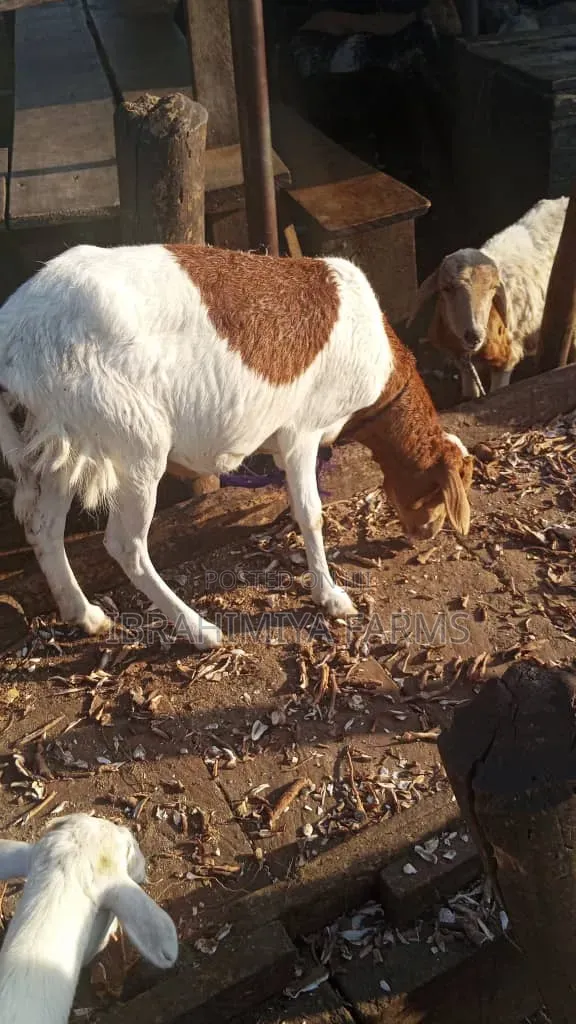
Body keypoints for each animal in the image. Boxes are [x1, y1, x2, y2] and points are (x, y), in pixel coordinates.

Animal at [0, 243, 473, 651]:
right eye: (436, 490)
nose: (427, 533)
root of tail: (14, 334)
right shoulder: (301, 432)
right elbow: (312, 513)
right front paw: (331, 596)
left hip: (67, 440)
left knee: (43, 526)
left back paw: (85, 615)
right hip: (134, 440)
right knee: (125, 543)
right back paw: (199, 630)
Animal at [410, 196, 569, 398]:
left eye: (493, 289)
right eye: (446, 288)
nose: (474, 335)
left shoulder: (507, 357)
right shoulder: (462, 359)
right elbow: (471, 395)